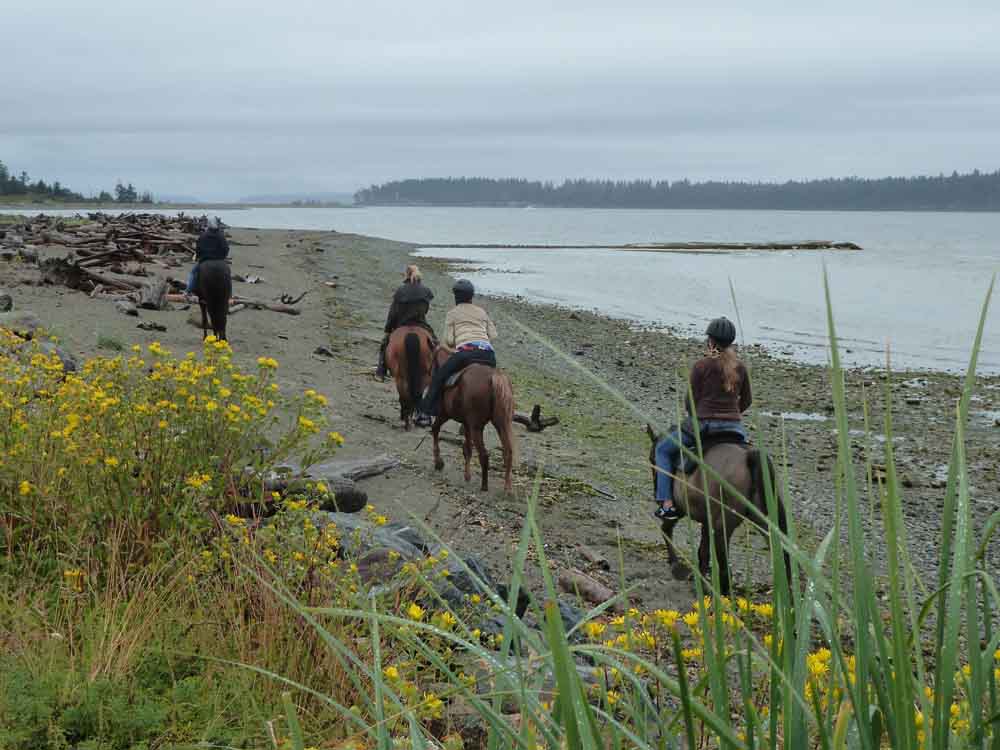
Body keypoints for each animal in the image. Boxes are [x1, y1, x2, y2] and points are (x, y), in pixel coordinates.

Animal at [430, 350, 516, 496]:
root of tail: (494, 377)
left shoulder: (444, 414)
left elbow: (435, 430)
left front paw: (438, 463)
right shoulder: (466, 424)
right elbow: (467, 449)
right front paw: (467, 475)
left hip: (477, 427)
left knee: (484, 454)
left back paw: (484, 486)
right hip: (501, 425)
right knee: (508, 452)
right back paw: (508, 488)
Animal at [644, 426, 792, 596]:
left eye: (652, 459)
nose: (657, 498)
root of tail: (748, 456)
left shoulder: (680, 511)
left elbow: (667, 531)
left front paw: (677, 567)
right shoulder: (707, 522)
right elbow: (703, 552)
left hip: (724, 526)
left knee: (725, 566)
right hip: (765, 522)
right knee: (783, 555)